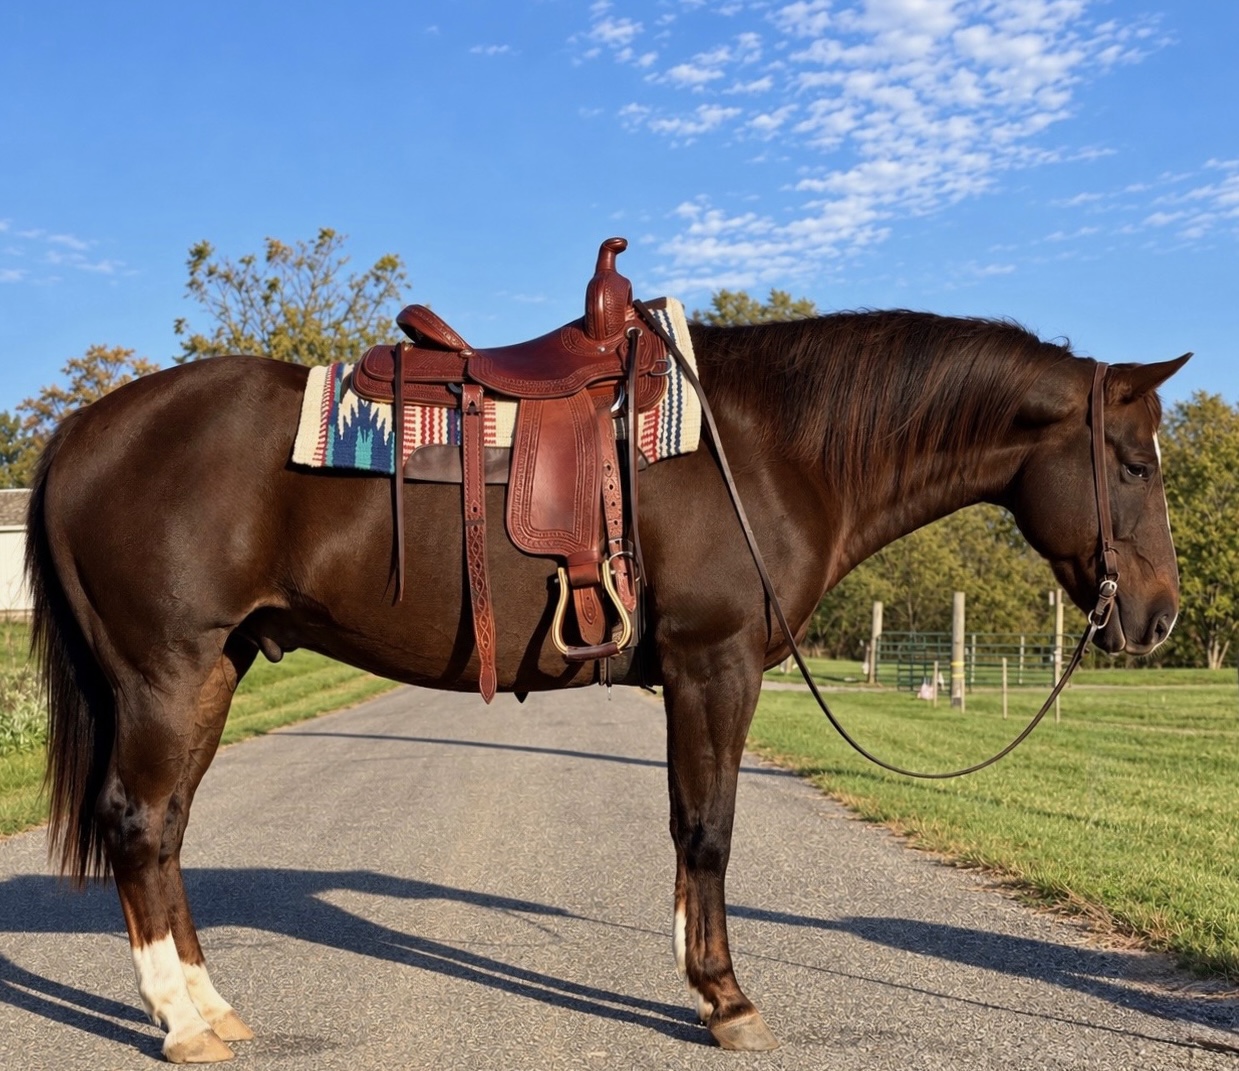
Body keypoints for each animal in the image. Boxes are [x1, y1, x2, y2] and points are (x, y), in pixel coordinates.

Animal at [25, 308, 1188, 1061]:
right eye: (1134, 465)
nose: (1161, 616)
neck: (762, 448)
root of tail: (84, 428)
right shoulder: (714, 664)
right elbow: (710, 830)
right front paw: (726, 999)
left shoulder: (691, 674)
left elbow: (686, 825)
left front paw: (699, 979)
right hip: (167, 673)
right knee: (140, 825)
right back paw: (181, 1022)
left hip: (211, 672)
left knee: (167, 830)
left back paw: (211, 1007)